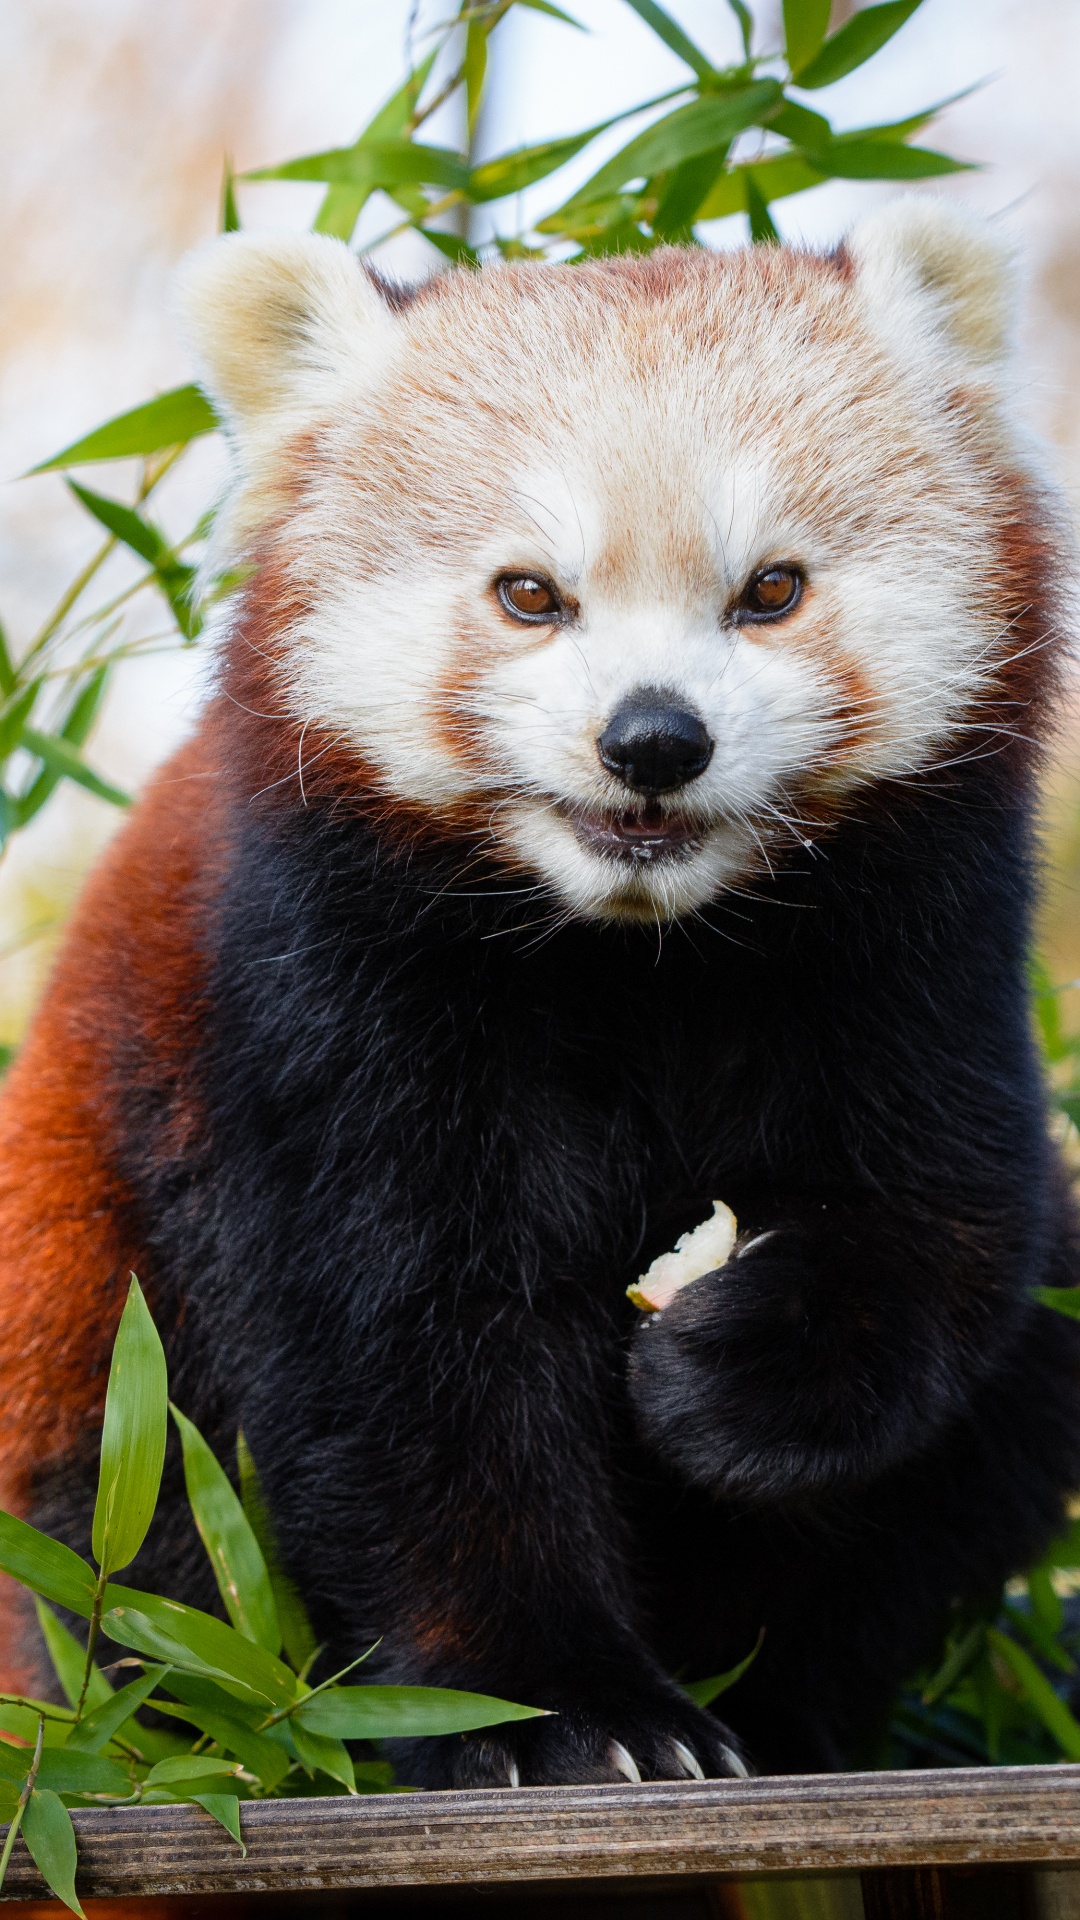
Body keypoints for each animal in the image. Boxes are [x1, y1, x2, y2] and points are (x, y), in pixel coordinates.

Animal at [0, 199, 1078, 1788]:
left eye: (770, 590)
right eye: (530, 595)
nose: (653, 740)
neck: (639, 952)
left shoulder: (916, 946)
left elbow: (946, 1225)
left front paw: (718, 1370)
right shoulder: (316, 995)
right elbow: (400, 1359)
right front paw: (559, 1708)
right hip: (83, 1321)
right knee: (123, 1527)